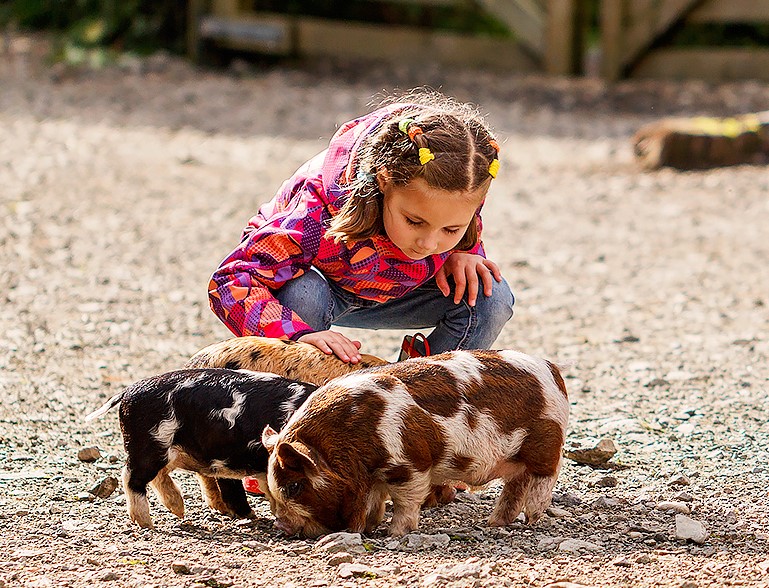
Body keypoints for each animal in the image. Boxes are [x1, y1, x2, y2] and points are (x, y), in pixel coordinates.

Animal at [85, 368, 318, 528]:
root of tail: (127, 392)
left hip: (168, 449)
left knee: (157, 475)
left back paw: (179, 510)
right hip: (149, 442)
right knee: (131, 477)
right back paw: (146, 523)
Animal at [261, 349, 569, 537]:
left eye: (294, 485)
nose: (281, 525)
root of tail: (551, 369)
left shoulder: (408, 463)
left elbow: (405, 500)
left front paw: (395, 533)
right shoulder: (372, 477)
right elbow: (374, 500)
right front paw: (370, 527)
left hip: (545, 440)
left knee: (546, 475)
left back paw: (532, 518)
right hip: (516, 458)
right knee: (515, 485)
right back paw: (494, 523)